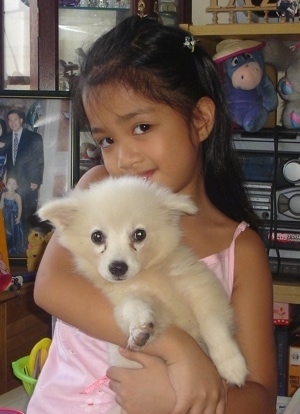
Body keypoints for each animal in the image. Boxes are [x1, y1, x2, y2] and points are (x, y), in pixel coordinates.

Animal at [38, 176, 247, 402]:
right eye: (97, 236)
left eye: (140, 234)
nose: (117, 267)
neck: (148, 275)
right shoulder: (126, 299)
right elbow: (134, 305)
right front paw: (140, 328)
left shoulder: (201, 288)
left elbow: (213, 325)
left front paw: (231, 364)